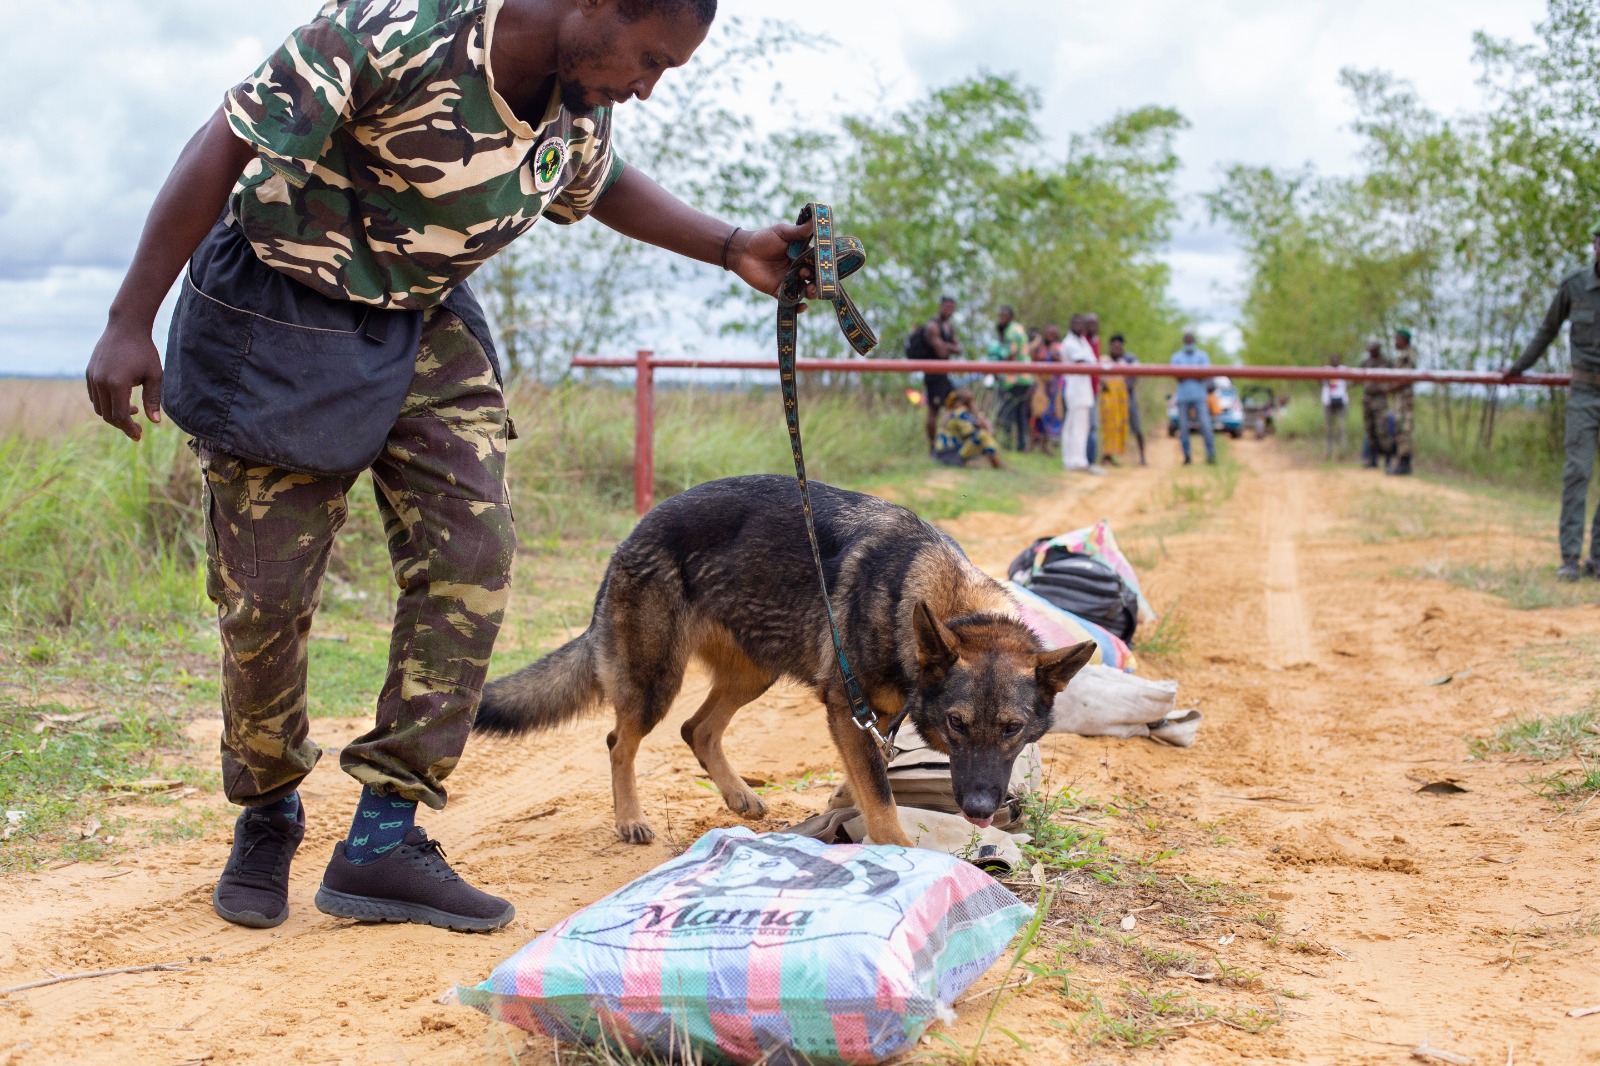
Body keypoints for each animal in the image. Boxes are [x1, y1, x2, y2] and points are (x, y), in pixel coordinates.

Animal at [476, 473, 1100, 845]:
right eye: (957, 724)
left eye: (1013, 730)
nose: (978, 809)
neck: (940, 601)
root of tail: (634, 533)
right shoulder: (848, 710)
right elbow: (882, 802)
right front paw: (898, 855)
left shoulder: (874, 718)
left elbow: (866, 779)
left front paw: (841, 803)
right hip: (657, 678)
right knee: (619, 741)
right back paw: (630, 817)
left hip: (755, 672)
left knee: (697, 729)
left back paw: (738, 795)